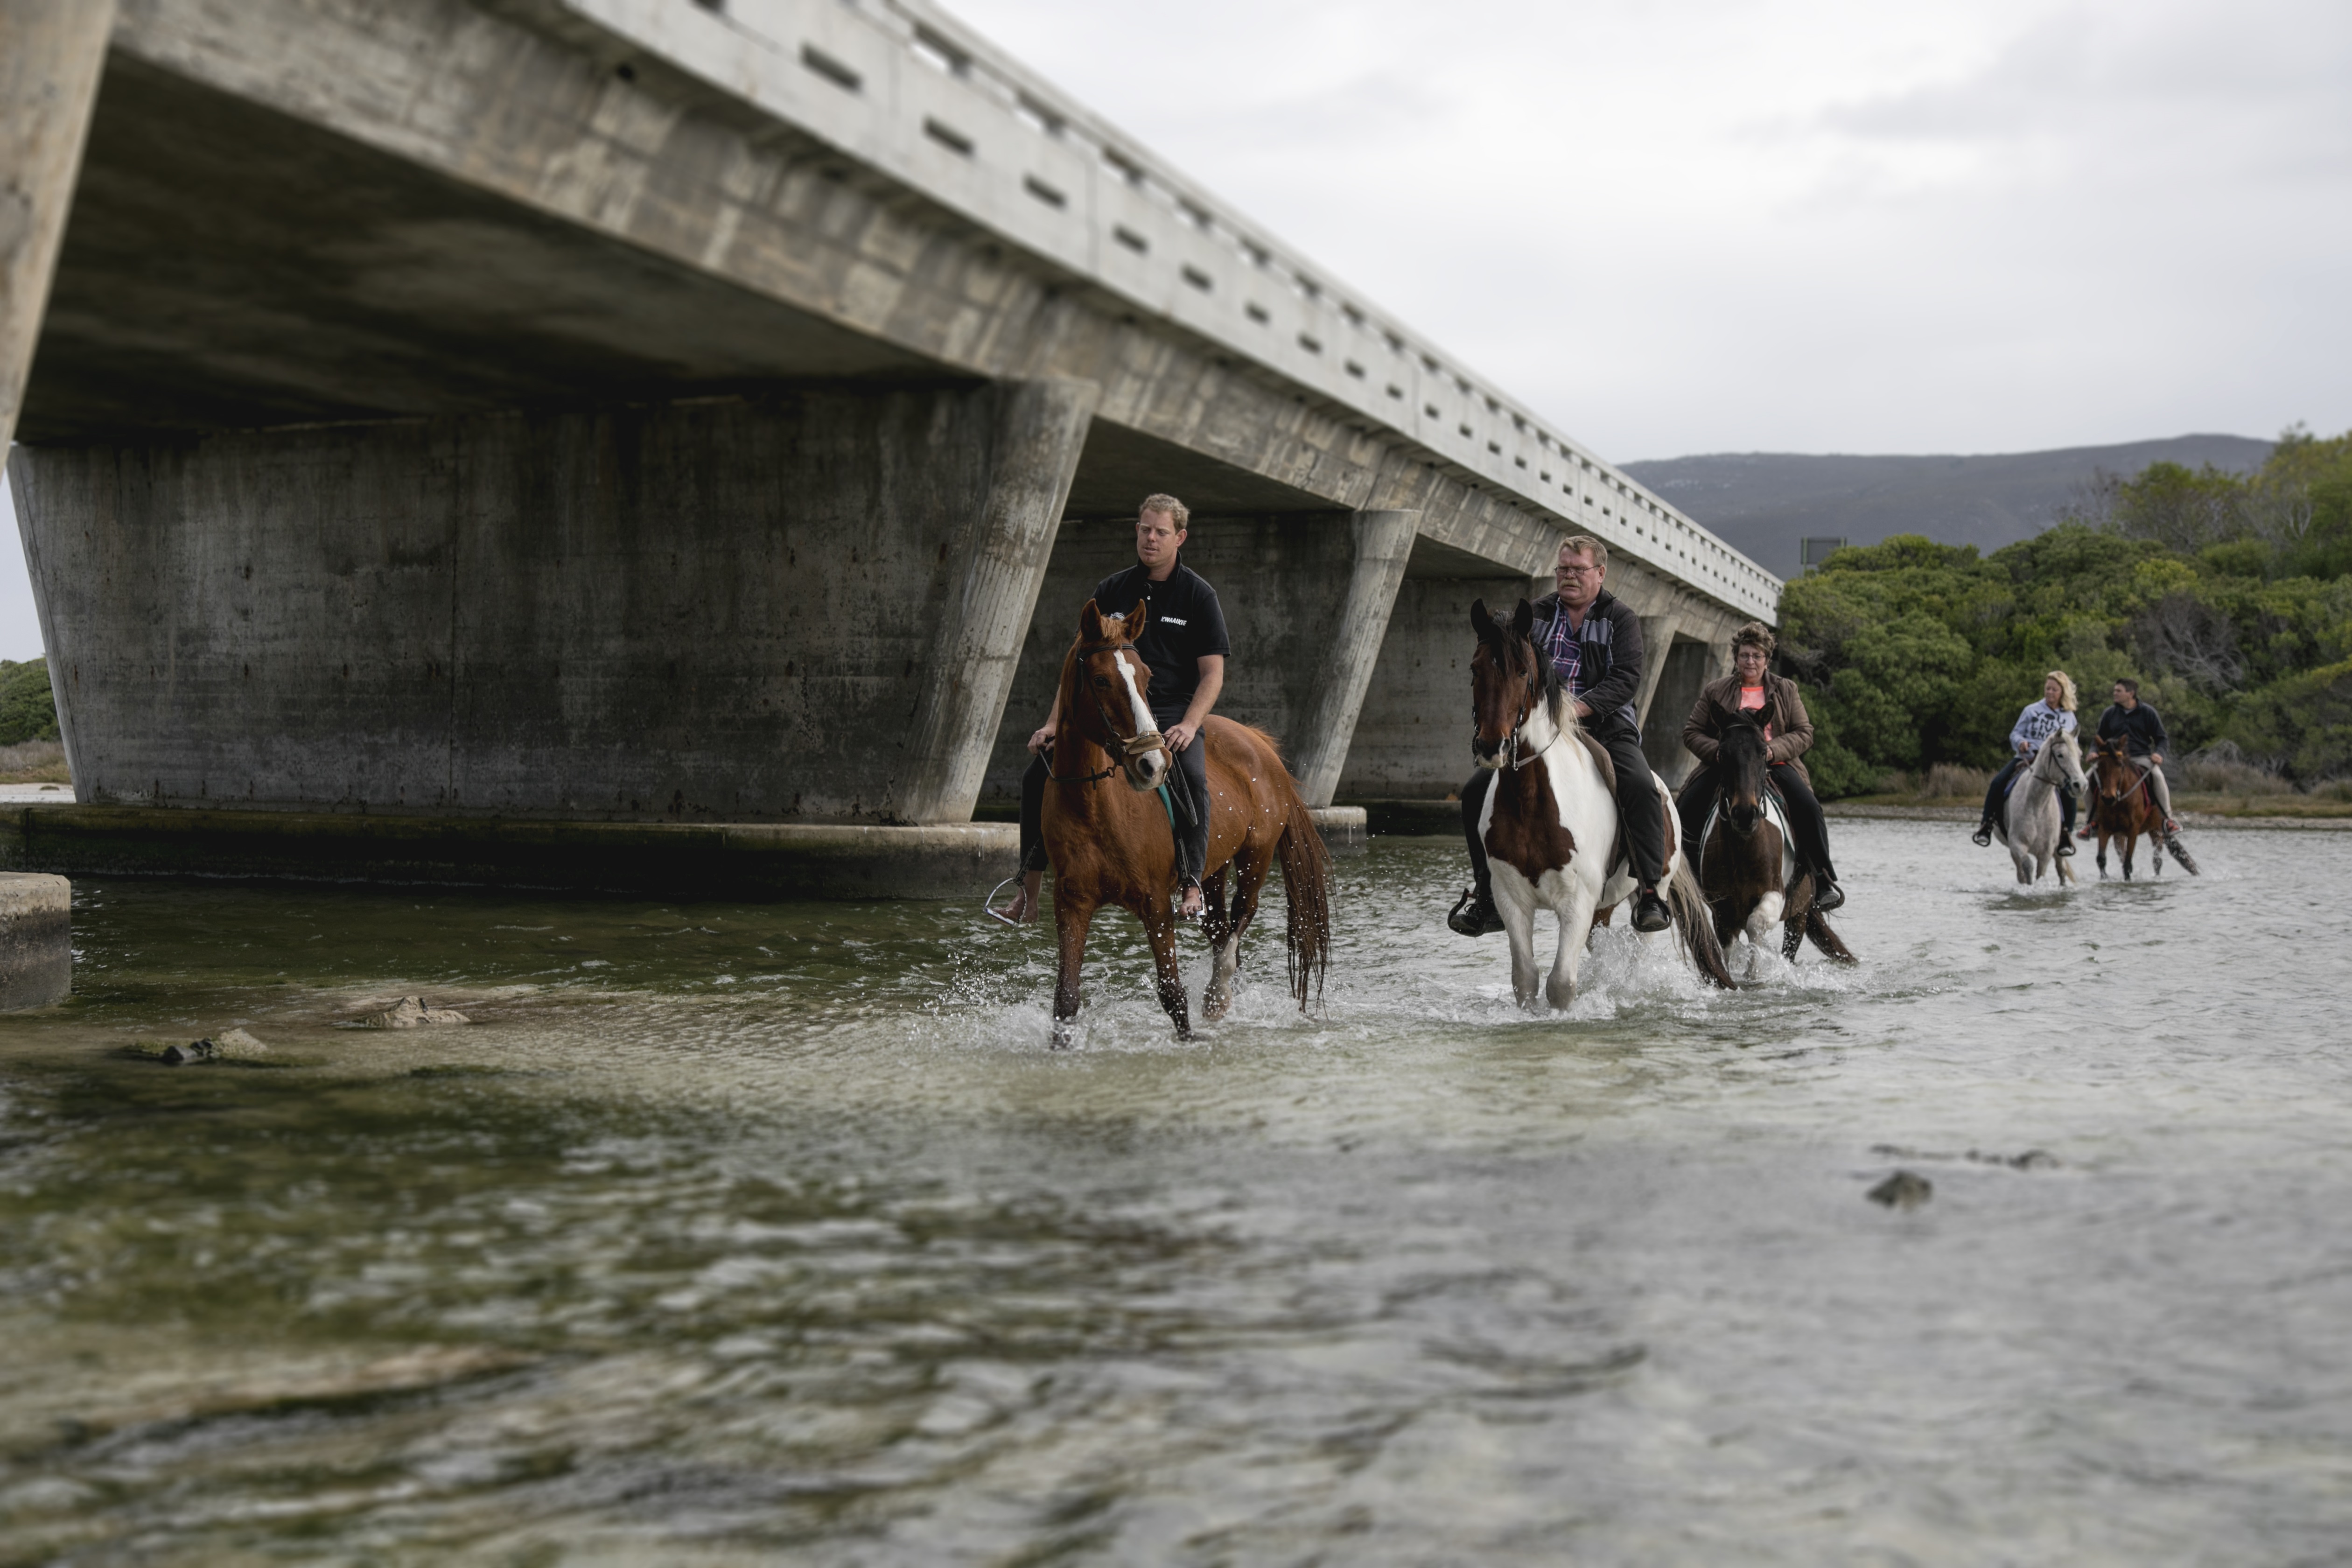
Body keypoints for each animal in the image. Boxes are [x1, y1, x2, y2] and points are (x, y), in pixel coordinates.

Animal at [1044, 595, 1336, 1048]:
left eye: (1146, 676)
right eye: (1101, 679)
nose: (1152, 764)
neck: (1094, 806)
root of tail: (1259, 743)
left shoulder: (1154, 903)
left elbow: (1172, 993)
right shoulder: (1072, 903)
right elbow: (1067, 1000)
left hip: (1256, 856)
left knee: (1239, 922)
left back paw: (1218, 997)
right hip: (1211, 873)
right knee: (1219, 927)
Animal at [1693, 714, 1853, 968]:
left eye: (1763, 752)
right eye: (1722, 753)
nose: (1745, 814)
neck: (1744, 847)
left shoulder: (1775, 895)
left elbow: (1757, 924)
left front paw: (1755, 971)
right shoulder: (1723, 912)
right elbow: (1731, 951)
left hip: (1799, 914)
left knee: (1788, 950)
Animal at [1994, 728, 2088, 889]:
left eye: (2080, 755)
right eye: (2060, 755)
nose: (2081, 785)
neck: (2037, 805)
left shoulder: (2046, 852)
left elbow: (2041, 874)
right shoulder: (2017, 844)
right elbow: (2028, 867)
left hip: (2059, 850)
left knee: (2061, 869)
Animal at [2088, 738, 2192, 884]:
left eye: (2120, 765)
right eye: (2100, 766)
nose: (2108, 798)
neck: (2120, 800)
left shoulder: (2133, 830)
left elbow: (2128, 864)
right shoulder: (2105, 828)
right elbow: (2102, 860)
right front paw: (2105, 881)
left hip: (2156, 831)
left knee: (2157, 861)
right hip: (2119, 835)